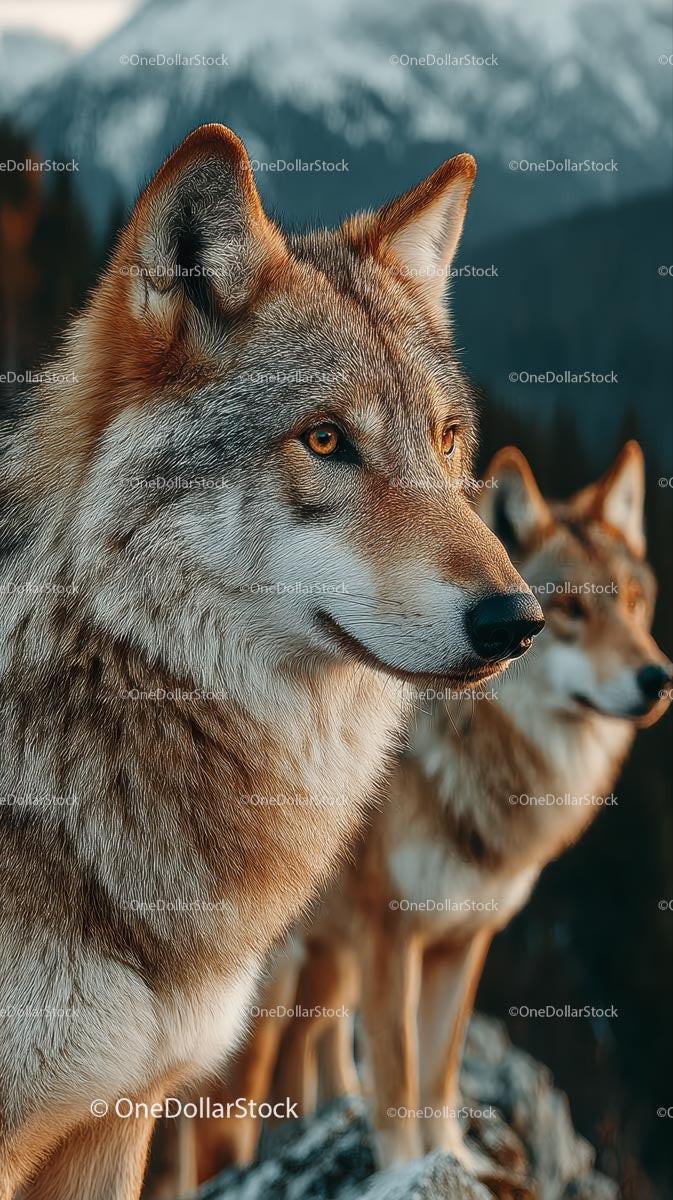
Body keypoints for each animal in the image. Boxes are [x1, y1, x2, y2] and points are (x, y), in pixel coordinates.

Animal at [199, 442, 671, 1198]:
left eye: (632, 603)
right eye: (570, 610)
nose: (657, 679)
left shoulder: (463, 940)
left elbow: (439, 1072)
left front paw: (454, 1156)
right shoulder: (392, 935)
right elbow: (398, 1074)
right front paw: (401, 1168)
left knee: (317, 1042)